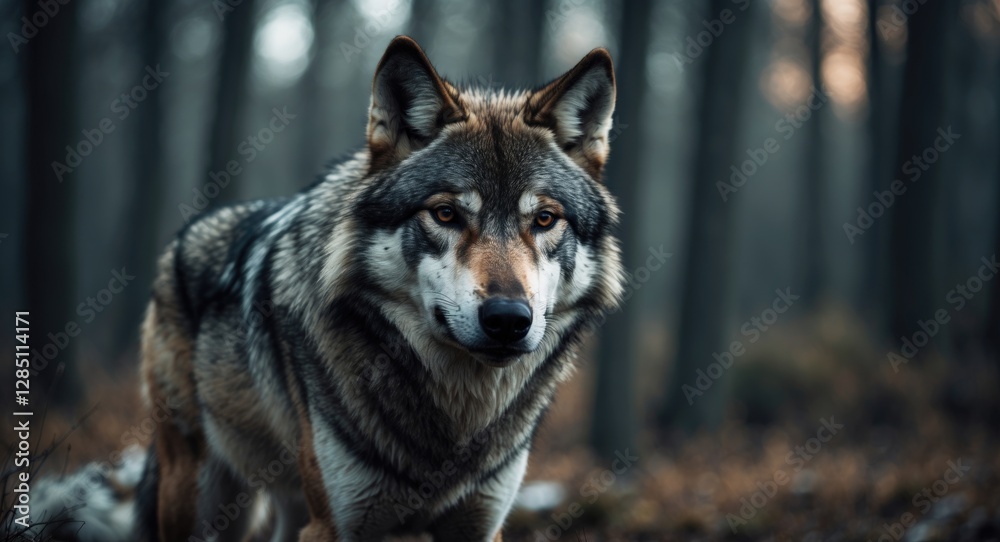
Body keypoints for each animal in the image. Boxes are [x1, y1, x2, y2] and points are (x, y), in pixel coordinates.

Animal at [136, 36, 624, 541]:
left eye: (544, 219)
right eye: (446, 214)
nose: (508, 319)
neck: (455, 418)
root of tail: (183, 236)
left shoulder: (481, 525)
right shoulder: (336, 525)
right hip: (201, 496)